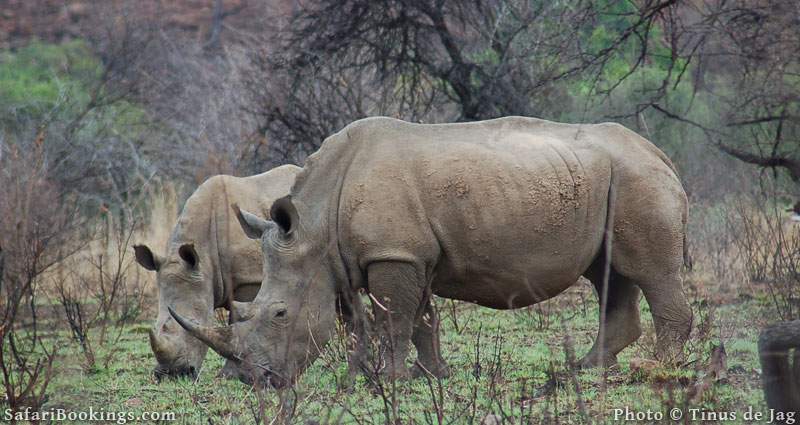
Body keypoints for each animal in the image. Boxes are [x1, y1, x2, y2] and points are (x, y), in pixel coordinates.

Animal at [134, 165, 300, 378]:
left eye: (191, 322)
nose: (172, 374)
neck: (205, 261)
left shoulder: (250, 279)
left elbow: (241, 319)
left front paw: (229, 373)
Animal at [170, 116, 692, 388]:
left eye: (278, 314)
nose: (255, 380)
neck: (314, 225)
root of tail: (660, 152)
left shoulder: (395, 254)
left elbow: (395, 318)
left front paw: (393, 380)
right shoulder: (399, 255)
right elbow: (410, 318)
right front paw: (423, 374)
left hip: (637, 179)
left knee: (650, 271)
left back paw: (658, 373)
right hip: (613, 180)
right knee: (609, 274)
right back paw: (585, 370)